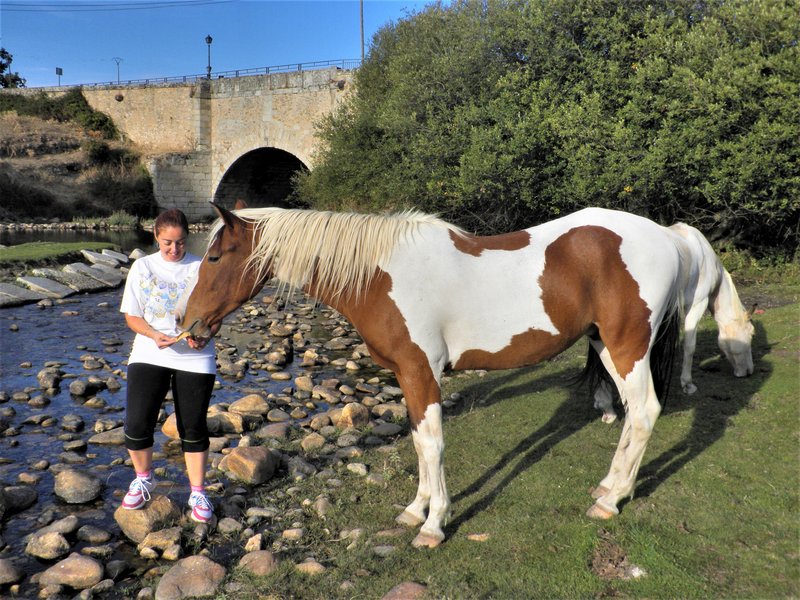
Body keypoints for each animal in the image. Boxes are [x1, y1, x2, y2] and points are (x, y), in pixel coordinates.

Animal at [177, 203, 688, 548]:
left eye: (215, 258)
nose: (189, 323)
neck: (380, 276)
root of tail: (665, 236)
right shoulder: (406, 377)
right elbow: (418, 441)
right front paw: (414, 510)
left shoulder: (421, 372)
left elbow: (433, 444)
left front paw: (434, 524)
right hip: (605, 345)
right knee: (631, 414)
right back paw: (611, 486)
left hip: (627, 347)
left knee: (645, 412)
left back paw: (610, 500)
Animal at [592, 220, 752, 422]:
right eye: (750, 335)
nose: (748, 372)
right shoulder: (696, 304)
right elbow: (689, 347)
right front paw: (687, 384)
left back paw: (606, 406)